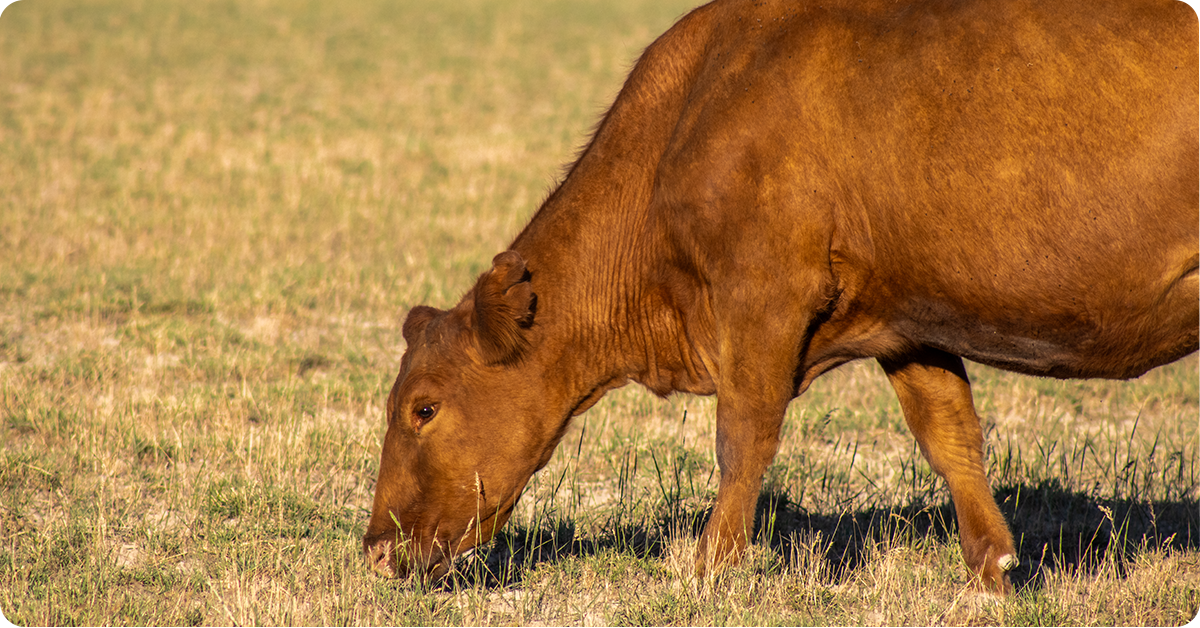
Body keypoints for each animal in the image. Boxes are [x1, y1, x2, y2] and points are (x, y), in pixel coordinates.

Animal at [363, 0, 1200, 593]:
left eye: (424, 407)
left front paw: (705, 569)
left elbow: (743, 437)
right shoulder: (910, 319)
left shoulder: (762, 296)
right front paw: (990, 571)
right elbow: (949, 433)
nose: (374, 549)